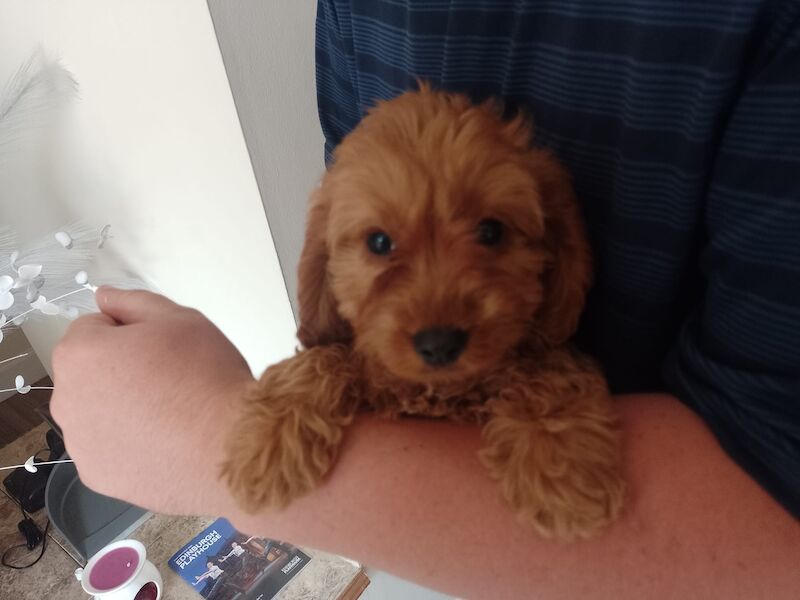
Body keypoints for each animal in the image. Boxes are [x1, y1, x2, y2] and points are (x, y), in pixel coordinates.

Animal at [220, 83, 624, 540]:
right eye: (378, 242)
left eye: (491, 231)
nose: (440, 344)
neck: (437, 392)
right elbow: (323, 355)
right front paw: (267, 441)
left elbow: (550, 368)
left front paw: (563, 466)